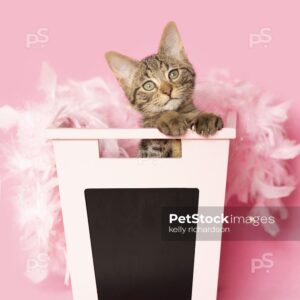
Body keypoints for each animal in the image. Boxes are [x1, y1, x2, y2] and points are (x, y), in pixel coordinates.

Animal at [105, 21, 223, 157]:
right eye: (148, 85)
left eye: (173, 74)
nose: (167, 91)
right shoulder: (150, 150)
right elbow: (156, 118)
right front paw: (170, 119)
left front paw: (205, 117)